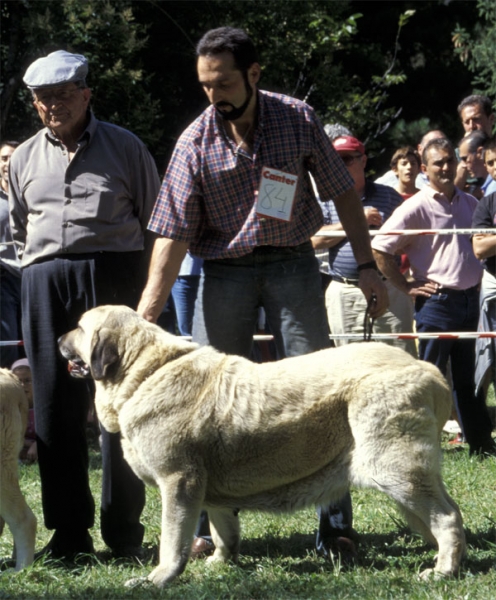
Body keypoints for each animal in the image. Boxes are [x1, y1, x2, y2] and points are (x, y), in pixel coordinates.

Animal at [60, 304, 466, 584]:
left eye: (79, 327)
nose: (61, 339)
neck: (146, 372)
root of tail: (431, 372)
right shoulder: (209, 492)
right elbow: (224, 530)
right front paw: (220, 563)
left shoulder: (178, 483)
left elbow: (173, 541)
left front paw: (158, 578)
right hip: (408, 477)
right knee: (444, 513)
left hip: (395, 469)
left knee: (446, 516)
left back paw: (443, 570)